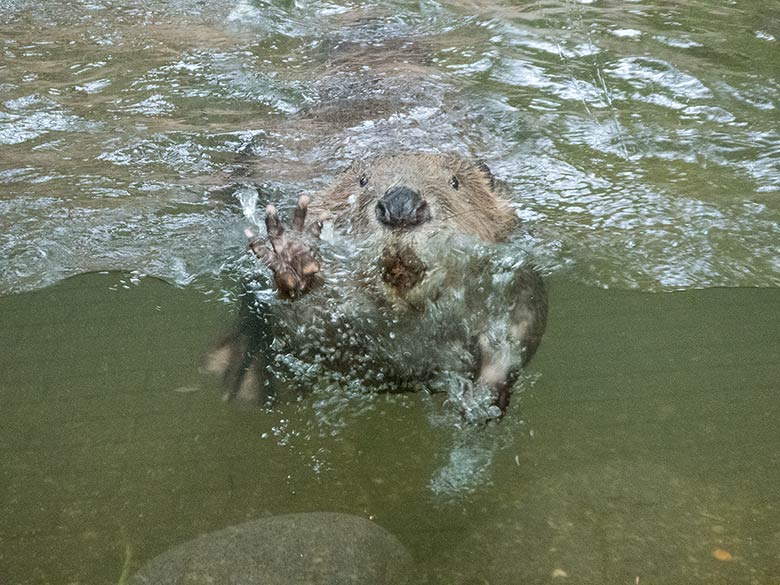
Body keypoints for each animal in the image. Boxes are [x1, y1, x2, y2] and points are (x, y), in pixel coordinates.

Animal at [210, 153, 544, 418]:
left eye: (455, 182)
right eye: (362, 181)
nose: (401, 206)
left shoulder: (514, 278)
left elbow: (520, 331)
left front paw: (482, 401)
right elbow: (302, 330)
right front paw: (293, 256)